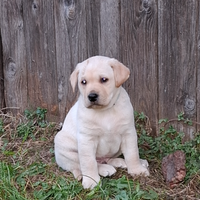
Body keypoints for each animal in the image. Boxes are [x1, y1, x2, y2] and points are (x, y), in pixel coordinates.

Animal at [54, 55, 149, 189]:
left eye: (104, 80)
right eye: (83, 82)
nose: (92, 96)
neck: (105, 110)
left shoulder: (128, 133)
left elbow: (132, 153)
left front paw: (137, 170)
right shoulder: (87, 139)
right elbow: (88, 162)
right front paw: (91, 181)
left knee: (109, 158)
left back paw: (124, 162)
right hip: (63, 146)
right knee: (82, 163)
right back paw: (104, 169)